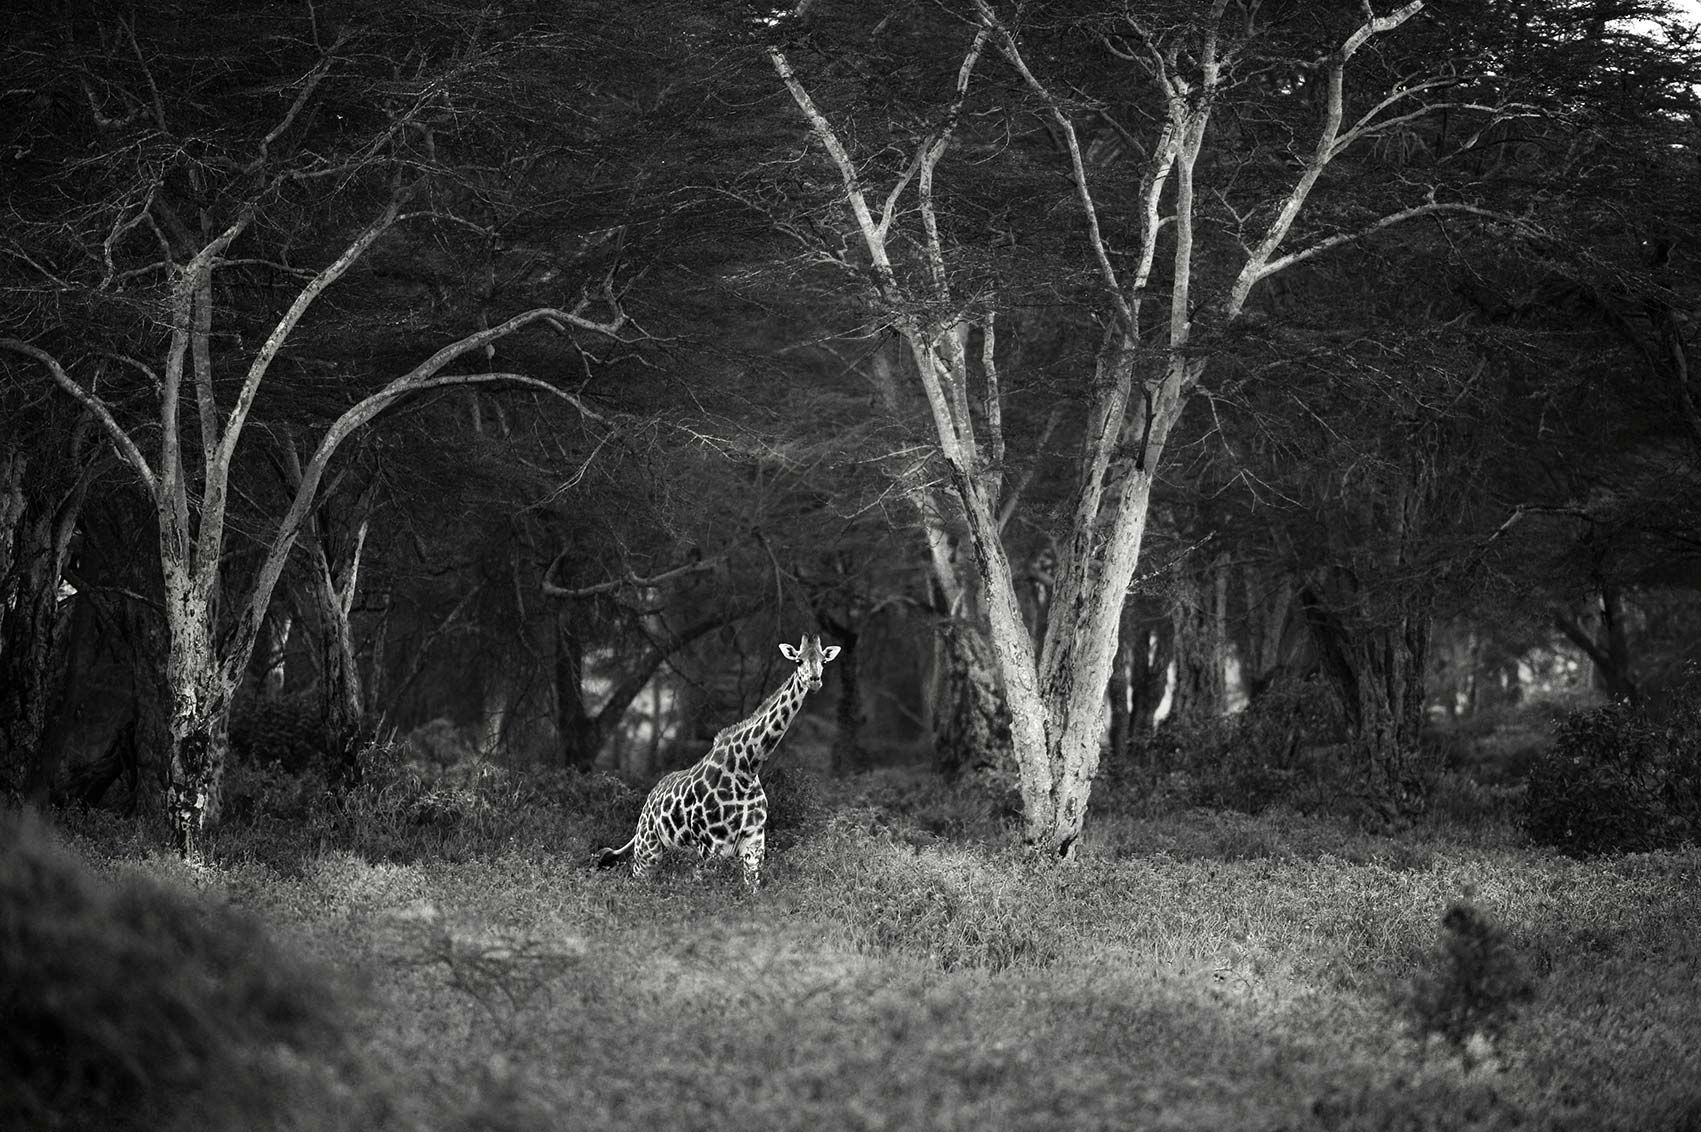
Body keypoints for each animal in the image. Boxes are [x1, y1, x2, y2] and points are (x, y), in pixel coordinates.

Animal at [594, 634, 839, 890]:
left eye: (823, 661)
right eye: (799, 660)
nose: (815, 681)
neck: (747, 769)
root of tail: (648, 800)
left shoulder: (754, 845)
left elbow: (752, 891)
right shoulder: (711, 847)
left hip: (671, 853)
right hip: (647, 850)